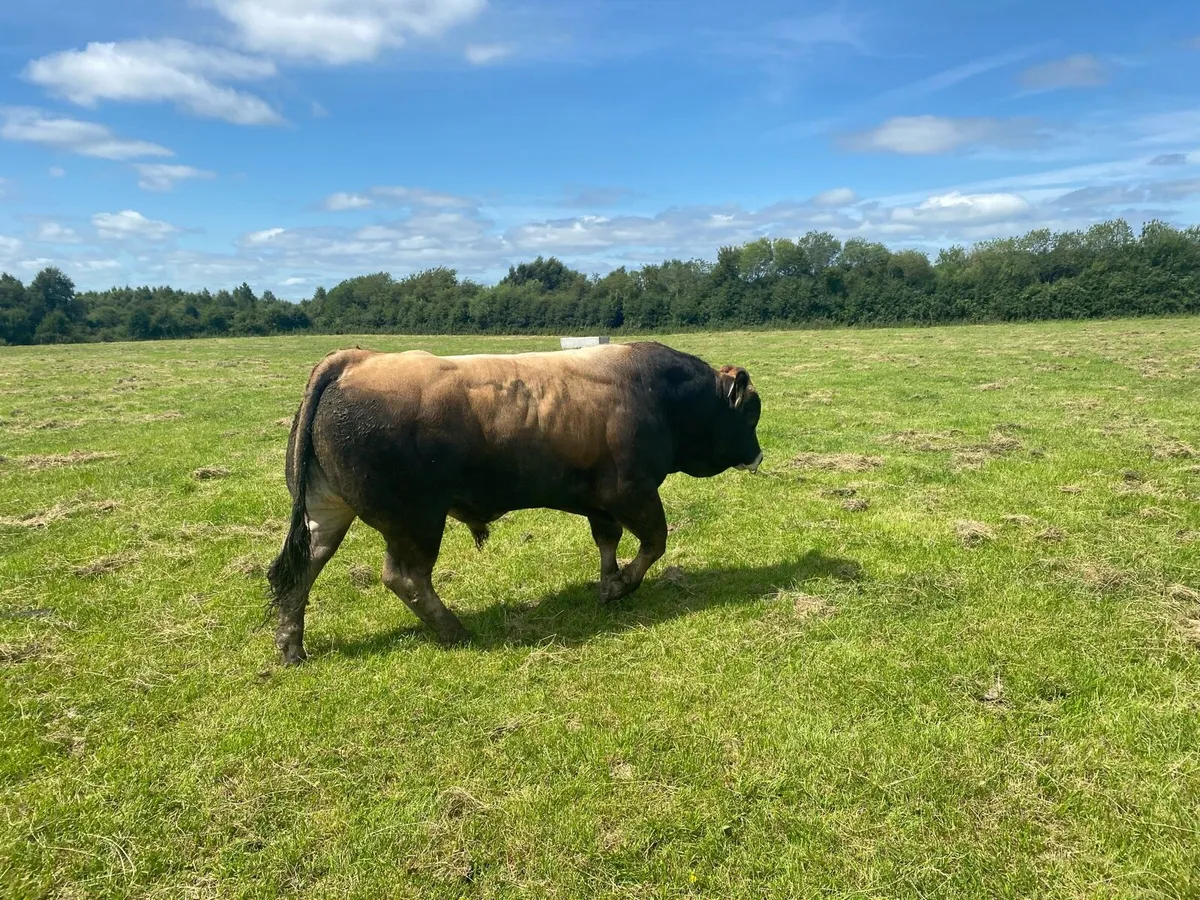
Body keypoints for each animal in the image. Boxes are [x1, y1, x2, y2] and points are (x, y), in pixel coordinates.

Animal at [266, 340, 763, 665]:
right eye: (750, 412)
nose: (759, 455)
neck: (660, 397)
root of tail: (354, 360)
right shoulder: (633, 492)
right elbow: (655, 542)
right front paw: (624, 584)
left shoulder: (600, 502)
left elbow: (608, 541)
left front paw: (608, 583)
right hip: (417, 520)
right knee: (405, 577)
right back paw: (455, 630)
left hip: (327, 511)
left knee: (302, 569)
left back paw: (292, 647)